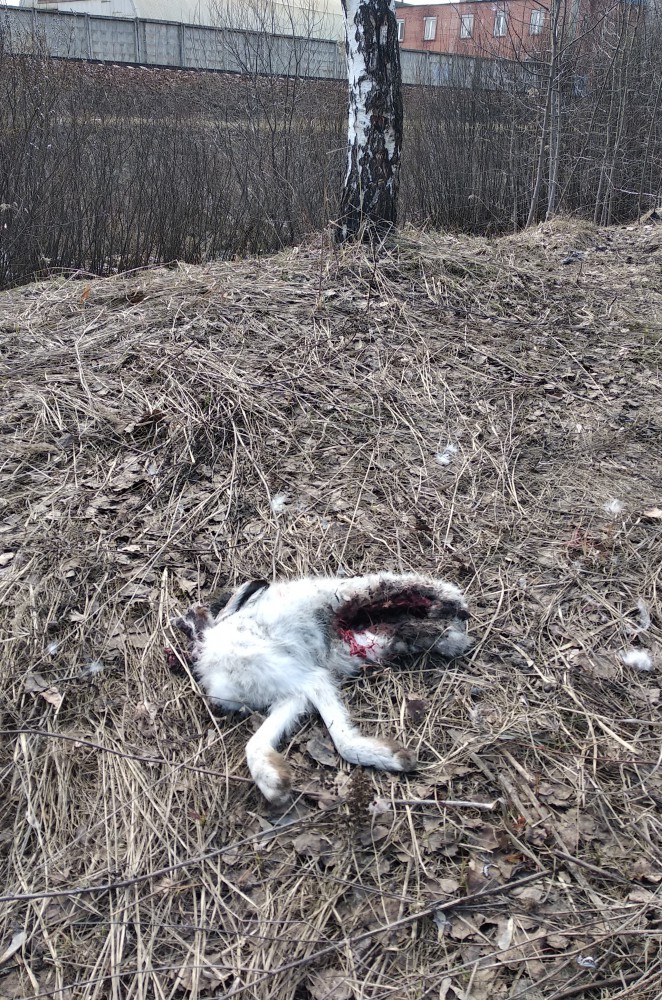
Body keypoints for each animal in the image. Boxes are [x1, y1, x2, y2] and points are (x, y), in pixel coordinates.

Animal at [173, 572, 472, 805]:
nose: (182, 620)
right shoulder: (292, 694)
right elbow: (256, 743)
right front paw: (277, 786)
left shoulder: (306, 678)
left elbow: (341, 739)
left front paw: (396, 758)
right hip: (364, 642)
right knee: (402, 625)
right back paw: (447, 631)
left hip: (338, 597)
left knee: (392, 585)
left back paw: (453, 602)